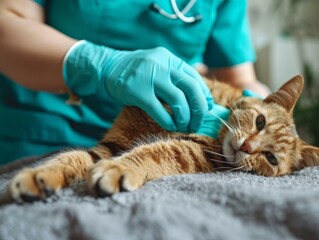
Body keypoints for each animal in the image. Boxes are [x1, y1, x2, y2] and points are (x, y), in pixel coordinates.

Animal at [7, 75, 319, 202]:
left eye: (271, 158)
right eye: (260, 122)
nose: (247, 147)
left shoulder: (191, 151)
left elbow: (153, 152)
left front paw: (119, 168)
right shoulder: (114, 143)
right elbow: (73, 157)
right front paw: (39, 174)